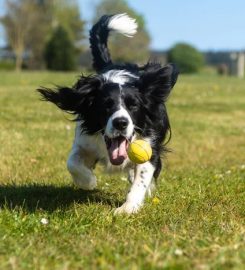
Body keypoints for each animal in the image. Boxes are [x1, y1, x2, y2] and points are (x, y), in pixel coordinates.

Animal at [37, 13, 178, 214]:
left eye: (133, 106)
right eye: (106, 105)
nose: (121, 123)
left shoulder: (150, 144)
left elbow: (142, 178)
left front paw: (127, 208)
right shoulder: (85, 141)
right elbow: (72, 163)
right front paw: (88, 181)